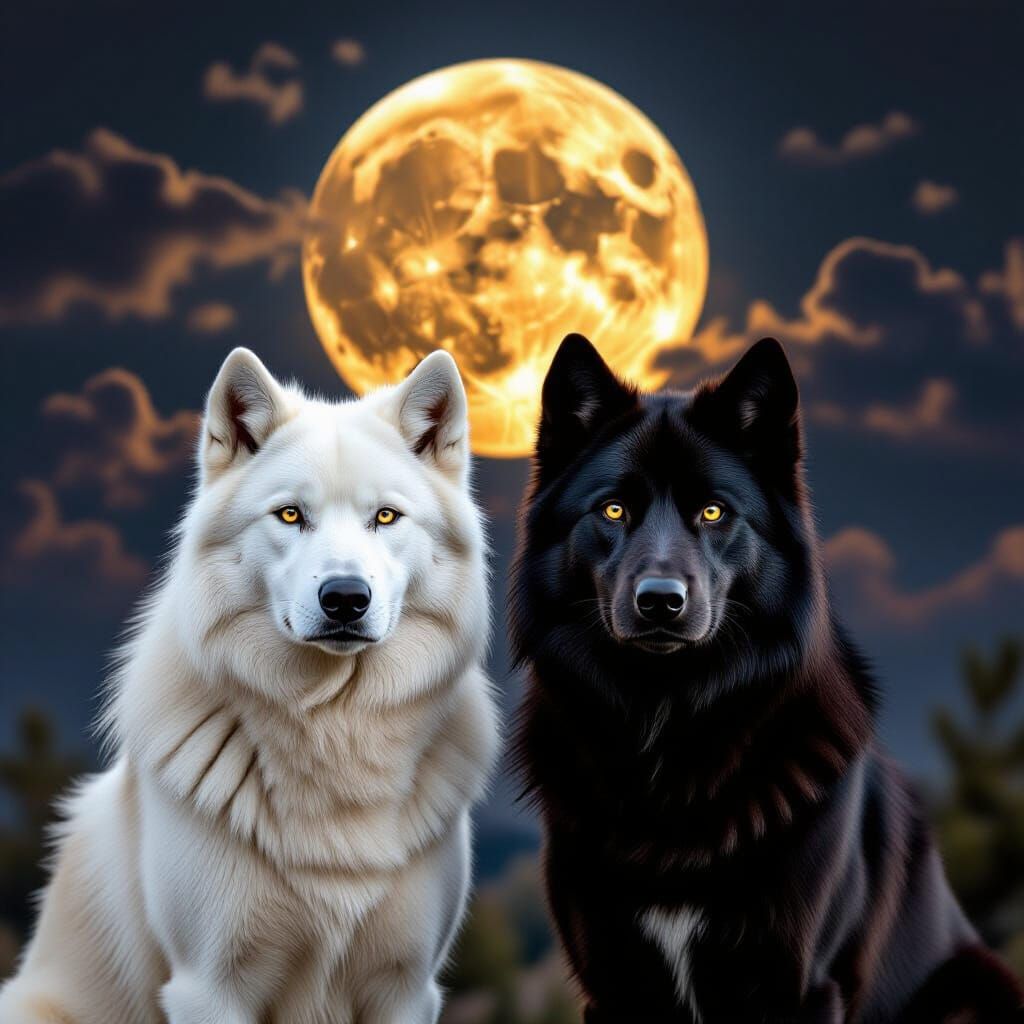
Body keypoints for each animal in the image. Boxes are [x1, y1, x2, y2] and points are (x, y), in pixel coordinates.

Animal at [0, 348, 498, 1023]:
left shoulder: (405, 989)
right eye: (290, 514)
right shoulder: (210, 987)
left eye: (385, 516)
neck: (333, 724)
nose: (346, 598)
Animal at [510, 334, 1022, 1022]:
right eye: (613, 509)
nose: (660, 602)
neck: (667, 727)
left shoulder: (802, 985)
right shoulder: (612, 987)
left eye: (713, 511)